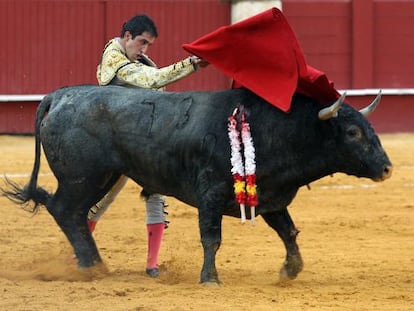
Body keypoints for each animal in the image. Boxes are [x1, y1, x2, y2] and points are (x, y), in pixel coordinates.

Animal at [1, 85, 392, 286]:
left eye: (370, 129)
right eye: (353, 132)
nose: (387, 168)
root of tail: (59, 96)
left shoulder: (270, 195)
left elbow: (288, 231)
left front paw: (289, 270)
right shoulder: (211, 193)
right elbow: (212, 238)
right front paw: (210, 278)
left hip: (101, 178)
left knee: (76, 215)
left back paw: (94, 263)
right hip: (84, 177)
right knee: (66, 210)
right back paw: (92, 266)